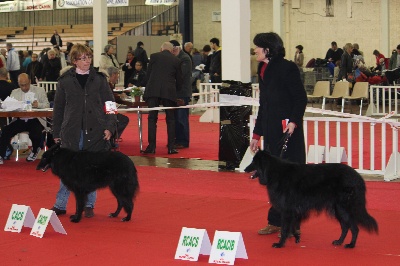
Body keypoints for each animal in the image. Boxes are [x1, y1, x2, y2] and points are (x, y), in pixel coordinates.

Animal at [244, 151, 378, 248]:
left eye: (254, 161)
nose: (245, 169)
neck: (275, 172)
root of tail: (358, 178)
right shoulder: (293, 211)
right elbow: (292, 226)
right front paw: (296, 237)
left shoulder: (287, 211)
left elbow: (285, 228)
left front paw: (280, 244)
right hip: (338, 209)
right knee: (346, 227)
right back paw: (339, 242)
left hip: (343, 208)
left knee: (354, 228)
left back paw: (351, 245)